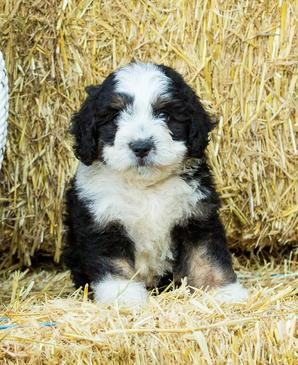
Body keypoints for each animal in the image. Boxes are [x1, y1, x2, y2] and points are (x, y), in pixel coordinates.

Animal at [64, 61, 248, 306]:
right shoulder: (103, 222)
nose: (141, 146)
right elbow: (115, 264)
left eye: (164, 114)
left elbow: (206, 257)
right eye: (115, 117)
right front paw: (124, 297)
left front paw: (224, 292)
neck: (146, 189)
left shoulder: (197, 217)